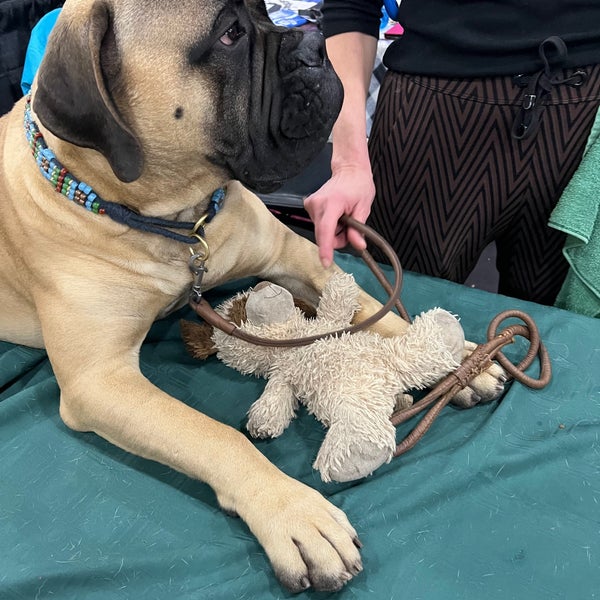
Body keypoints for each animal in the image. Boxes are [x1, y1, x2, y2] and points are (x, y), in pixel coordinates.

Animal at [0, 0, 506, 592]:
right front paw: (294, 512)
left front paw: (462, 360)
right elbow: (215, 435)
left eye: (263, 11)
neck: (175, 219)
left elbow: (365, 307)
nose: (315, 41)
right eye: (229, 35)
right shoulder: (99, 380)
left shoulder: (298, 256)